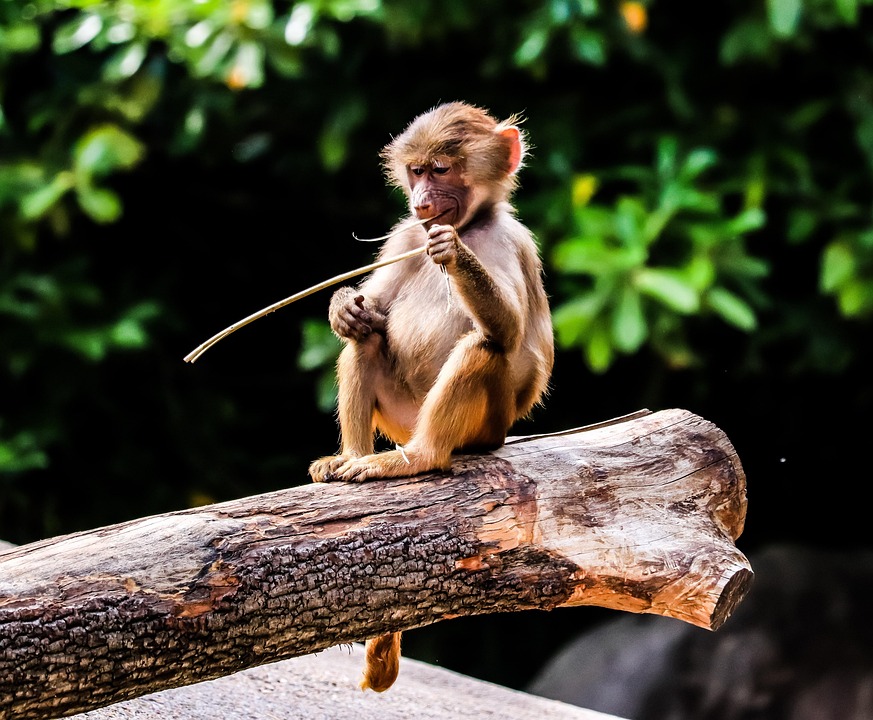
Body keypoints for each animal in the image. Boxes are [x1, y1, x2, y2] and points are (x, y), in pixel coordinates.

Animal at [308, 102, 554, 692]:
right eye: (415, 171)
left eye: (441, 170)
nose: (421, 202)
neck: (471, 223)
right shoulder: (404, 237)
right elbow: (369, 312)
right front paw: (342, 305)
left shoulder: (510, 239)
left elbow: (510, 334)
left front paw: (455, 255)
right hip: (400, 415)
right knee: (368, 339)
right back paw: (350, 459)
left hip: (486, 428)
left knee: (483, 347)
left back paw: (417, 459)